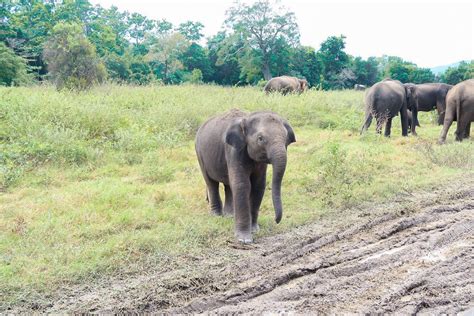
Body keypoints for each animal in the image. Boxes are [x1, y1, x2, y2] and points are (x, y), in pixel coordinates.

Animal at [194, 107, 294, 243]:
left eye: (286, 138)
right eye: (260, 138)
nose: (276, 220)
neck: (247, 118)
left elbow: (258, 186)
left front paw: (255, 230)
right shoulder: (234, 150)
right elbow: (242, 184)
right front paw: (244, 239)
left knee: (228, 185)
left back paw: (230, 216)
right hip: (200, 154)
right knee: (211, 182)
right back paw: (217, 216)